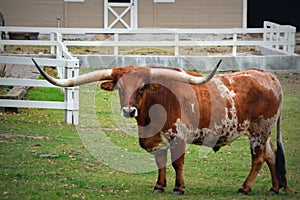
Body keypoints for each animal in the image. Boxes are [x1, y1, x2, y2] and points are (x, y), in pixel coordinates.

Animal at [31, 58, 288, 195]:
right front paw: (159, 186)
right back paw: (275, 188)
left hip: (259, 129)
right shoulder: (156, 140)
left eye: (143, 87)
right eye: (120, 87)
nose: (129, 111)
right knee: (271, 155)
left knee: (258, 158)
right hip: (263, 132)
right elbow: (160, 162)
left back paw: (245, 187)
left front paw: (179, 187)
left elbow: (177, 163)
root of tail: (269, 77)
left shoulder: (179, 136)